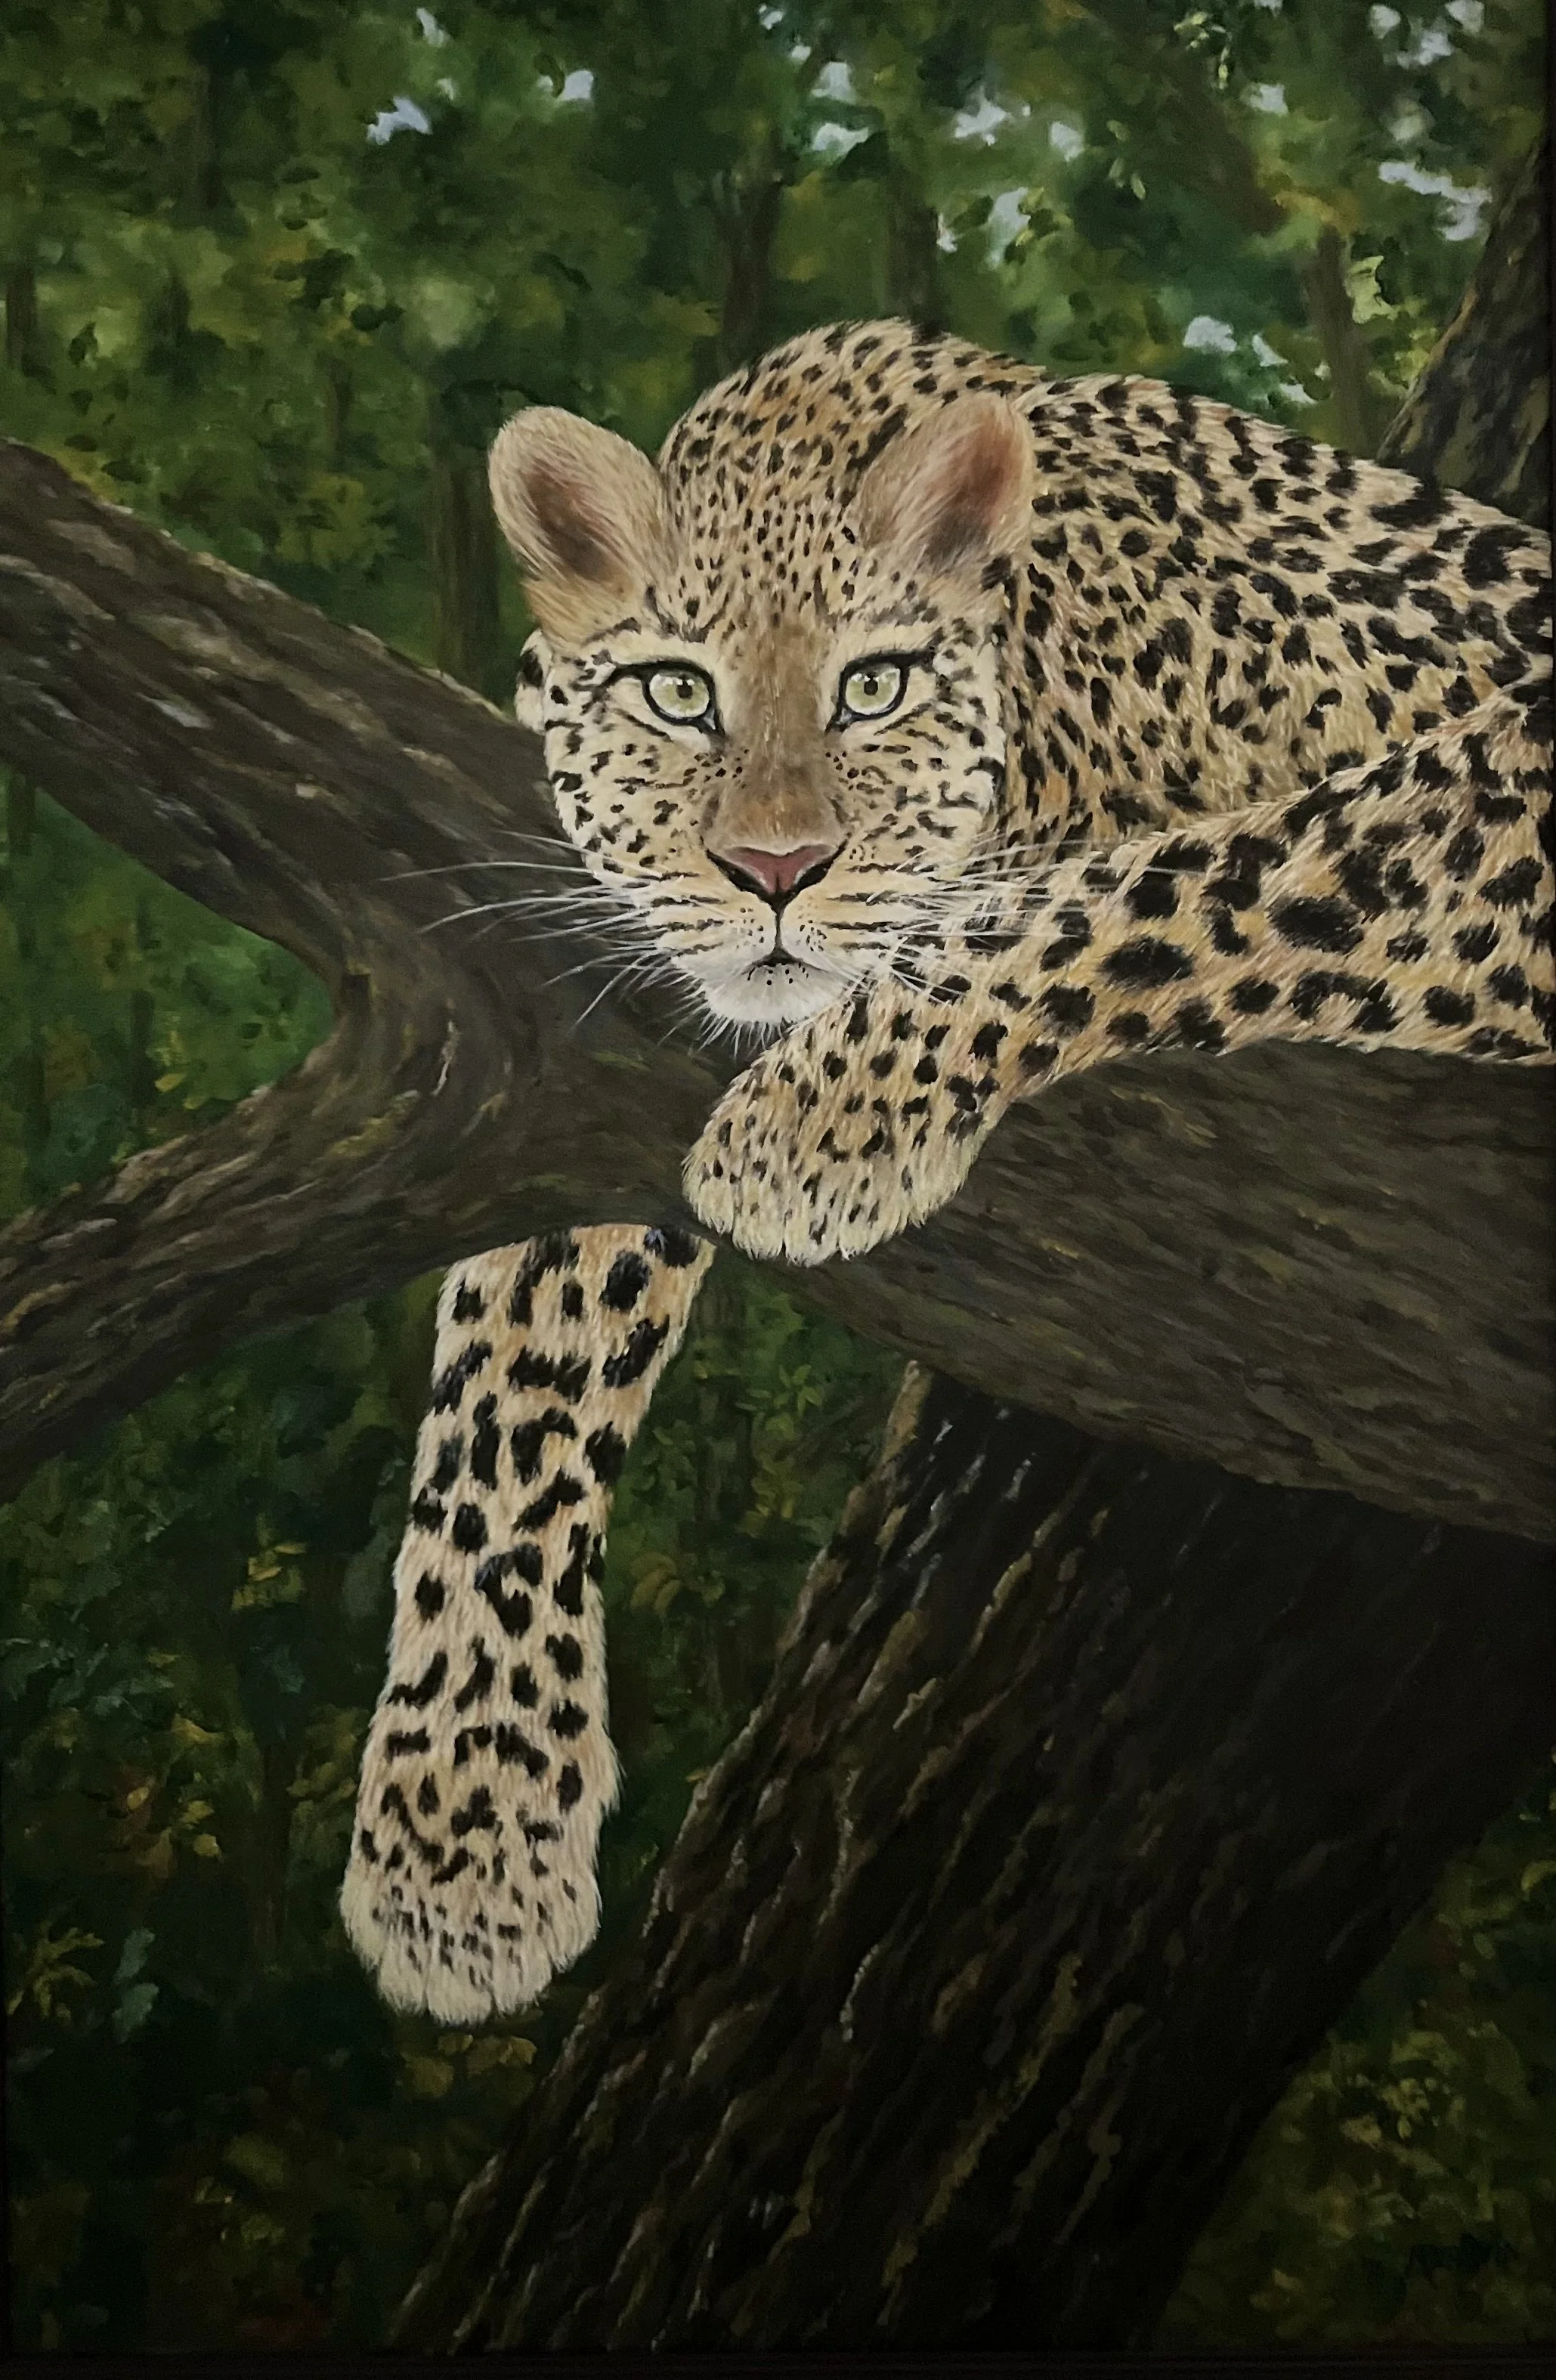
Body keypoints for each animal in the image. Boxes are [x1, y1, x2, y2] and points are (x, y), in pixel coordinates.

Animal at [341, 319, 1552, 2027]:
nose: (774, 871)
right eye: (676, 694)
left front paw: (822, 1124)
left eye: (876, 684)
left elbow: (1198, 876)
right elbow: (511, 1370)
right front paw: (459, 1827)